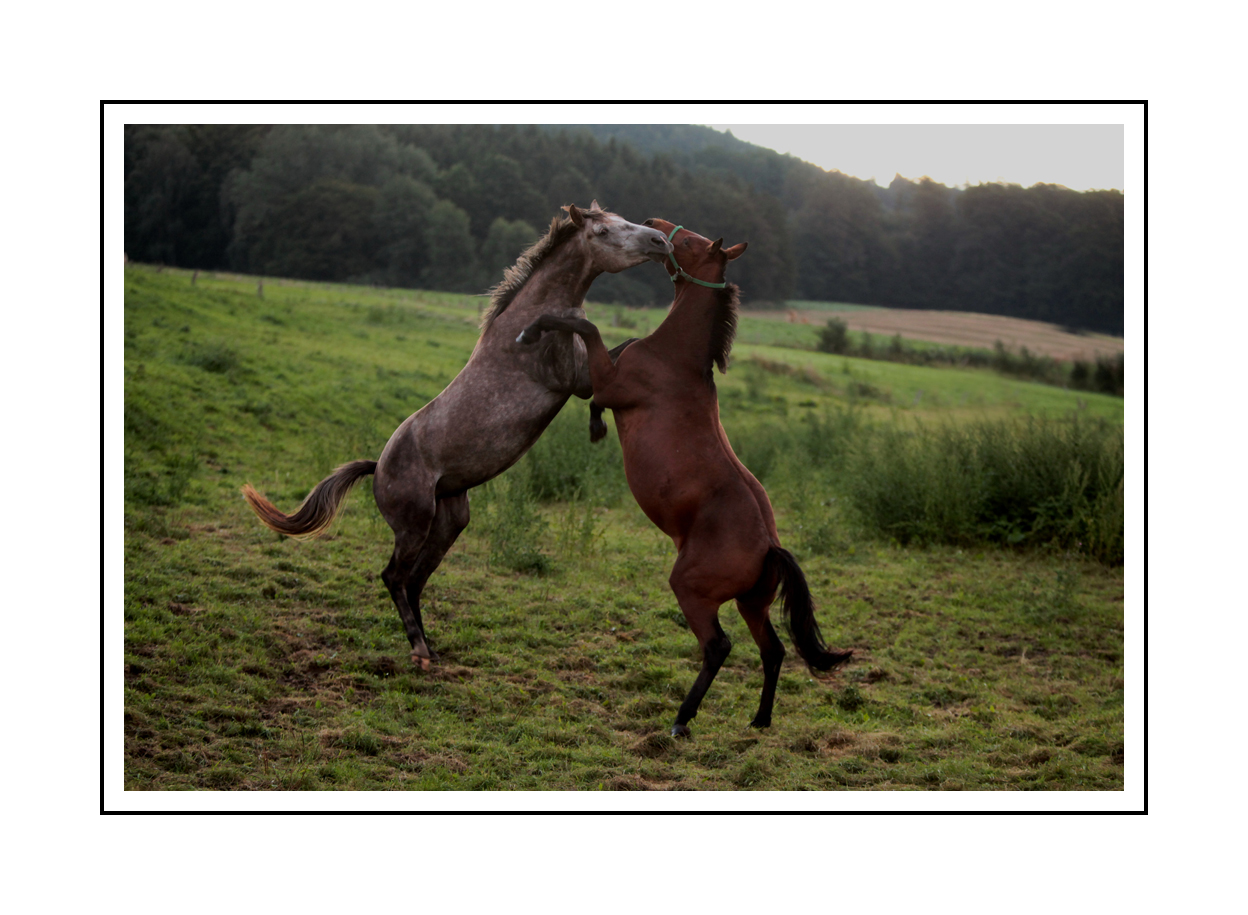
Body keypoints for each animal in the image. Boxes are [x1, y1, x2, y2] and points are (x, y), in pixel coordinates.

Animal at [243, 203, 673, 664]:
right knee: (393, 576)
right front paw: (594, 421)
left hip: (449, 523)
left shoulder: (581, 374)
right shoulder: (573, 379)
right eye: (604, 231)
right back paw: (419, 649)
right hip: (414, 525)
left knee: (414, 580)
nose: (659, 241)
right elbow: (606, 349)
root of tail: (378, 467)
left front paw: (599, 424)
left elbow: (623, 350)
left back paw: (429, 645)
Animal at [514, 215, 848, 733]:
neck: (676, 359)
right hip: (753, 604)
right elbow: (603, 347)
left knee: (719, 647)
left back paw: (682, 718)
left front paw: (532, 333)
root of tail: (769, 547)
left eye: (689, 241)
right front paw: (593, 423)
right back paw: (760, 720)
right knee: (773, 651)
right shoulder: (610, 373)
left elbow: (586, 327)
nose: (655, 225)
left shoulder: (610, 382)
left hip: (693, 591)